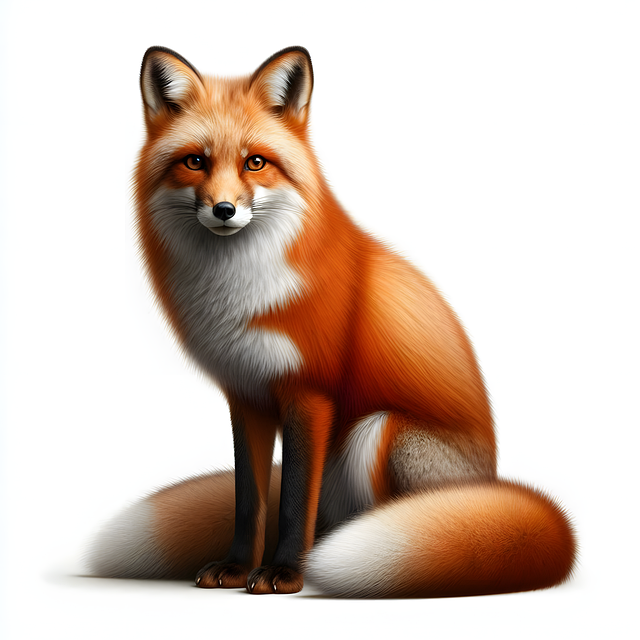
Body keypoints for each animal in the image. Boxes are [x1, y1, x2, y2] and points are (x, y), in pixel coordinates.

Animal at [87, 45, 577, 597]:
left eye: (255, 162)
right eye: (195, 161)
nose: (224, 209)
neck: (241, 293)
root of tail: (489, 481)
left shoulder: (310, 393)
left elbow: (294, 499)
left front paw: (284, 573)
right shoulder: (247, 395)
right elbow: (249, 501)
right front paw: (237, 567)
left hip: (379, 432)